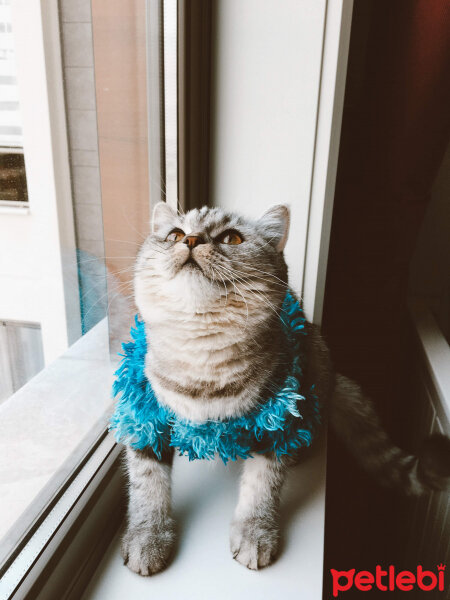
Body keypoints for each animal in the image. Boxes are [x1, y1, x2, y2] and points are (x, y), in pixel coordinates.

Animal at [119, 203, 450, 576]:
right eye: (174, 234)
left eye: (231, 238)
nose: (190, 240)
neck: (202, 361)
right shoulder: (145, 416)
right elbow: (147, 484)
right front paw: (148, 536)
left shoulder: (279, 422)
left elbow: (262, 486)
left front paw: (255, 533)